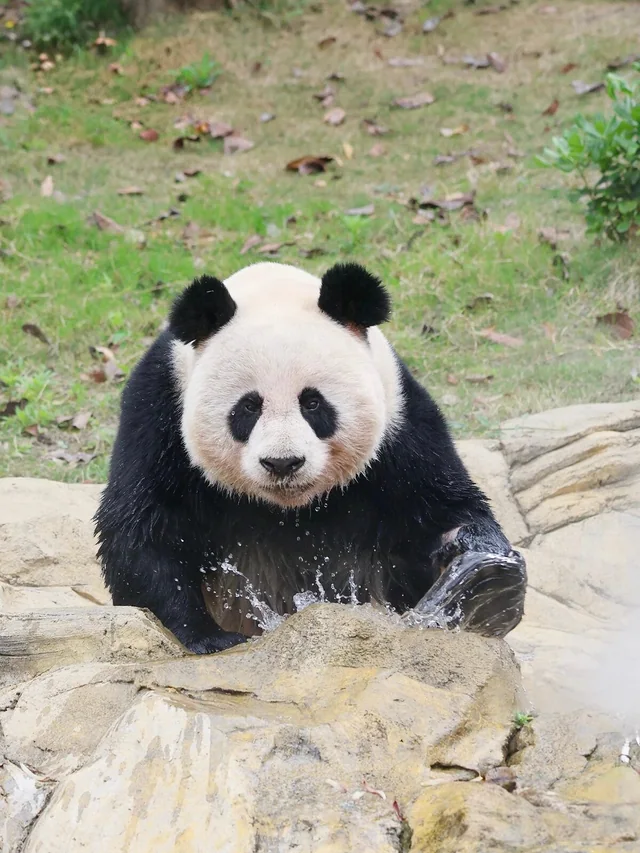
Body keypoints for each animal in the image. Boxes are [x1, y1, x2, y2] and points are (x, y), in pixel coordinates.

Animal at [95, 261, 526, 654]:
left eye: (313, 403)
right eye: (248, 407)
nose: (283, 463)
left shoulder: (401, 424)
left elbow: (439, 510)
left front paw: (484, 579)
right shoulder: (159, 411)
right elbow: (144, 528)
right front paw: (208, 636)